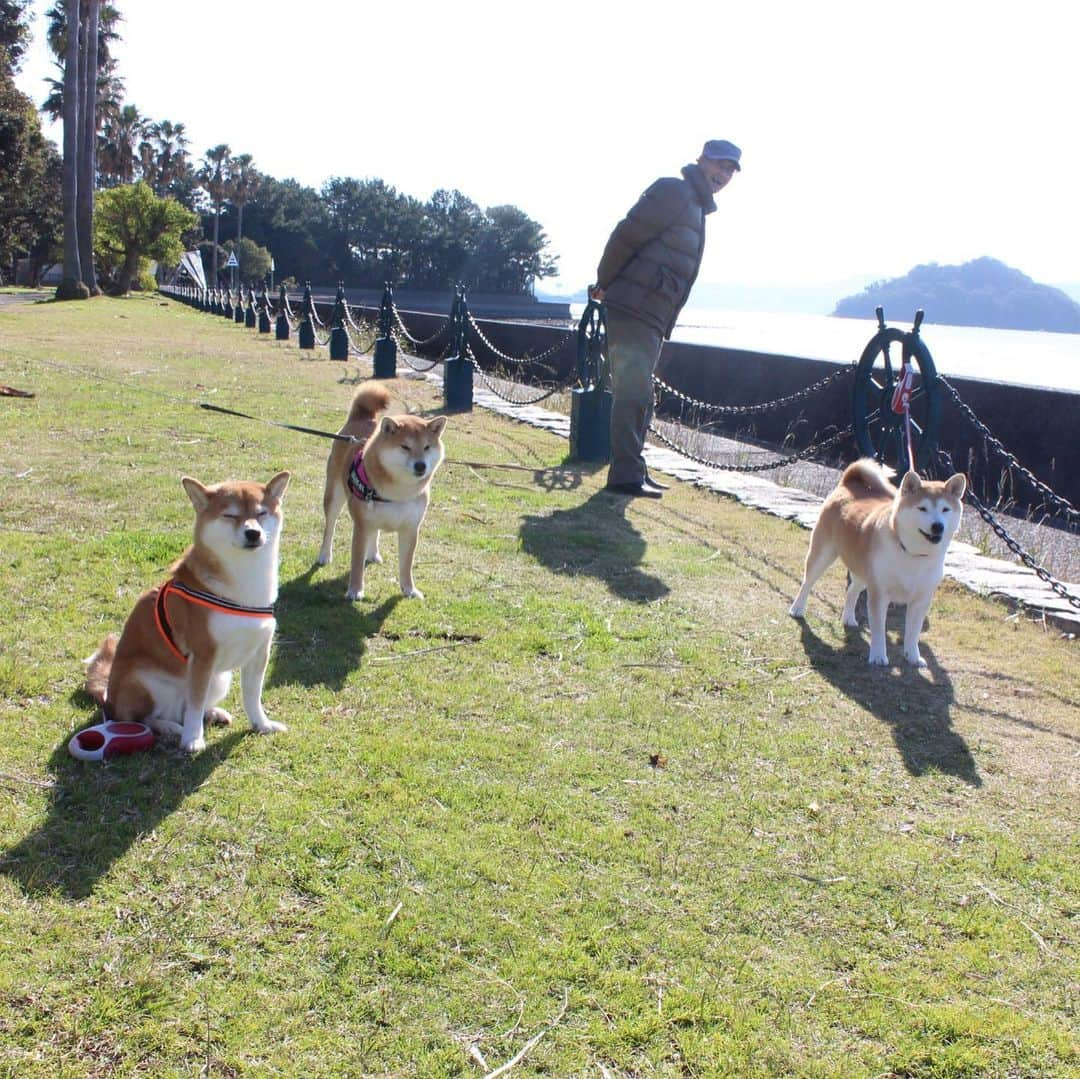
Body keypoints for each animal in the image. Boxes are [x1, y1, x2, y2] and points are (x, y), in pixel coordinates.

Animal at [85, 473, 291, 751]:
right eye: (230, 515)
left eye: (261, 513)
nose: (252, 533)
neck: (244, 589)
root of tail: (109, 697)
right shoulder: (203, 655)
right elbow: (194, 704)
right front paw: (193, 739)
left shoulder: (259, 651)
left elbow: (252, 696)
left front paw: (262, 724)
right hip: (145, 680)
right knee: (142, 718)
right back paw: (171, 728)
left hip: (219, 679)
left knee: (184, 709)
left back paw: (213, 713)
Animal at [315, 380, 447, 604]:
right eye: (405, 447)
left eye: (427, 447)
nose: (421, 466)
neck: (399, 491)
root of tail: (363, 417)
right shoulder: (361, 526)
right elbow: (356, 563)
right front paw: (355, 590)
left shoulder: (411, 528)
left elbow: (406, 565)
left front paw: (410, 590)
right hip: (334, 495)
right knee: (330, 528)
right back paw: (324, 556)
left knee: (375, 533)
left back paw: (373, 554)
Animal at [790, 457, 967, 665]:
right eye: (922, 508)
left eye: (945, 509)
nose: (938, 526)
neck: (912, 554)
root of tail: (848, 483)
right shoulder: (880, 594)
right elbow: (878, 630)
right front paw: (878, 656)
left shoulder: (921, 600)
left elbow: (913, 633)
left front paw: (913, 657)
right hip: (823, 554)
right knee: (807, 582)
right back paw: (797, 608)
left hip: (863, 570)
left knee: (851, 591)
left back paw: (848, 618)